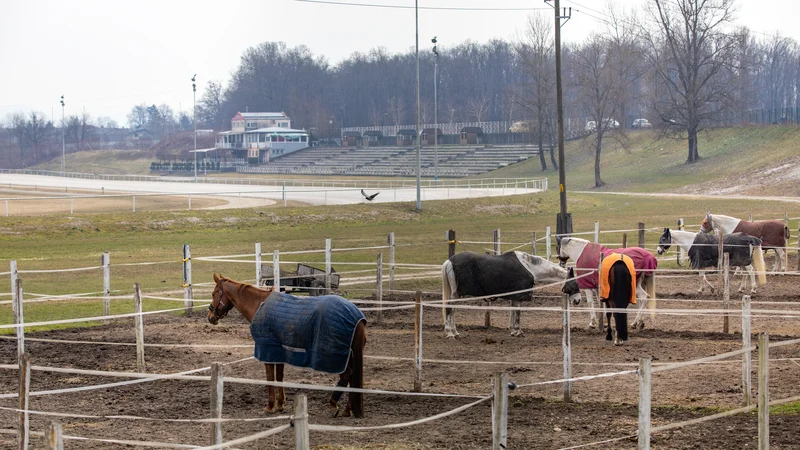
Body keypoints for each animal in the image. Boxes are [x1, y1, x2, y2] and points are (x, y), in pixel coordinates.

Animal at [208, 274, 368, 418]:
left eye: (214, 294)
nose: (210, 317)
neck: (259, 305)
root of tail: (356, 316)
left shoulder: (267, 350)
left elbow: (270, 378)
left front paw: (270, 406)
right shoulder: (279, 351)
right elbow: (279, 377)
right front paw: (280, 404)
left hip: (338, 357)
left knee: (347, 376)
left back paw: (333, 405)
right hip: (349, 356)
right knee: (352, 378)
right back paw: (347, 409)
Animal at [440, 250, 580, 338]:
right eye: (574, 283)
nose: (577, 300)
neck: (530, 268)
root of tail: (449, 261)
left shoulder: (515, 296)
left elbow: (513, 312)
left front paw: (513, 330)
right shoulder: (519, 296)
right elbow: (517, 314)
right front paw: (518, 331)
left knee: (452, 310)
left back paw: (455, 332)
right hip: (456, 294)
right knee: (449, 309)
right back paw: (450, 333)